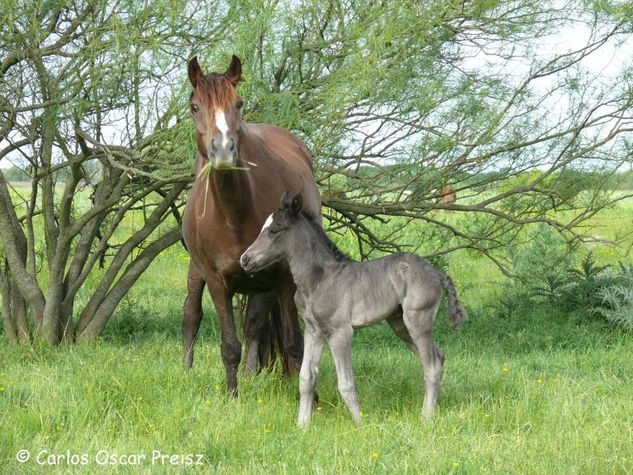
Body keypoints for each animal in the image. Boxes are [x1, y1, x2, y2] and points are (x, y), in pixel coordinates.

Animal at [181, 55, 320, 396]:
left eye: (239, 103)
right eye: (194, 106)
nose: (223, 150)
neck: (235, 214)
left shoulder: (283, 279)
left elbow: (294, 342)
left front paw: (310, 396)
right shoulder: (217, 282)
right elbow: (229, 345)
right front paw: (232, 397)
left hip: (264, 284)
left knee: (256, 323)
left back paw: (249, 374)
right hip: (197, 270)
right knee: (191, 315)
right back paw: (187, 371)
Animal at [239, 192, 466, 428]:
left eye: (274, 230)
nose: (245, 259)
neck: (317, 279)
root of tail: (437, 273)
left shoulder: (340, 333)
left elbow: (346, 384)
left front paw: (361, 425)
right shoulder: (313, 331)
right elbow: (306, 378)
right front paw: (302, 426)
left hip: (417, 320)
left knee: (431, 367)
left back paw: (426, 418)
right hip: (400, 324)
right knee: (438, 356)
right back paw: (433, 409)